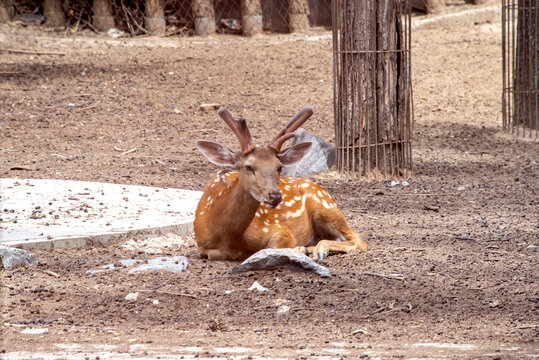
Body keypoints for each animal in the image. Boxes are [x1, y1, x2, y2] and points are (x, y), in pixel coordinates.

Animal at [195, 107, 372, 262]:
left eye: (279, 167)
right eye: (248, 166)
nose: (274, 196)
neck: (225, 234)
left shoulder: (278, 229)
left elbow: (272, 247)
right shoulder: (202, 246)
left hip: (325, 207)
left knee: (359, 240)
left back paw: (317, 250)